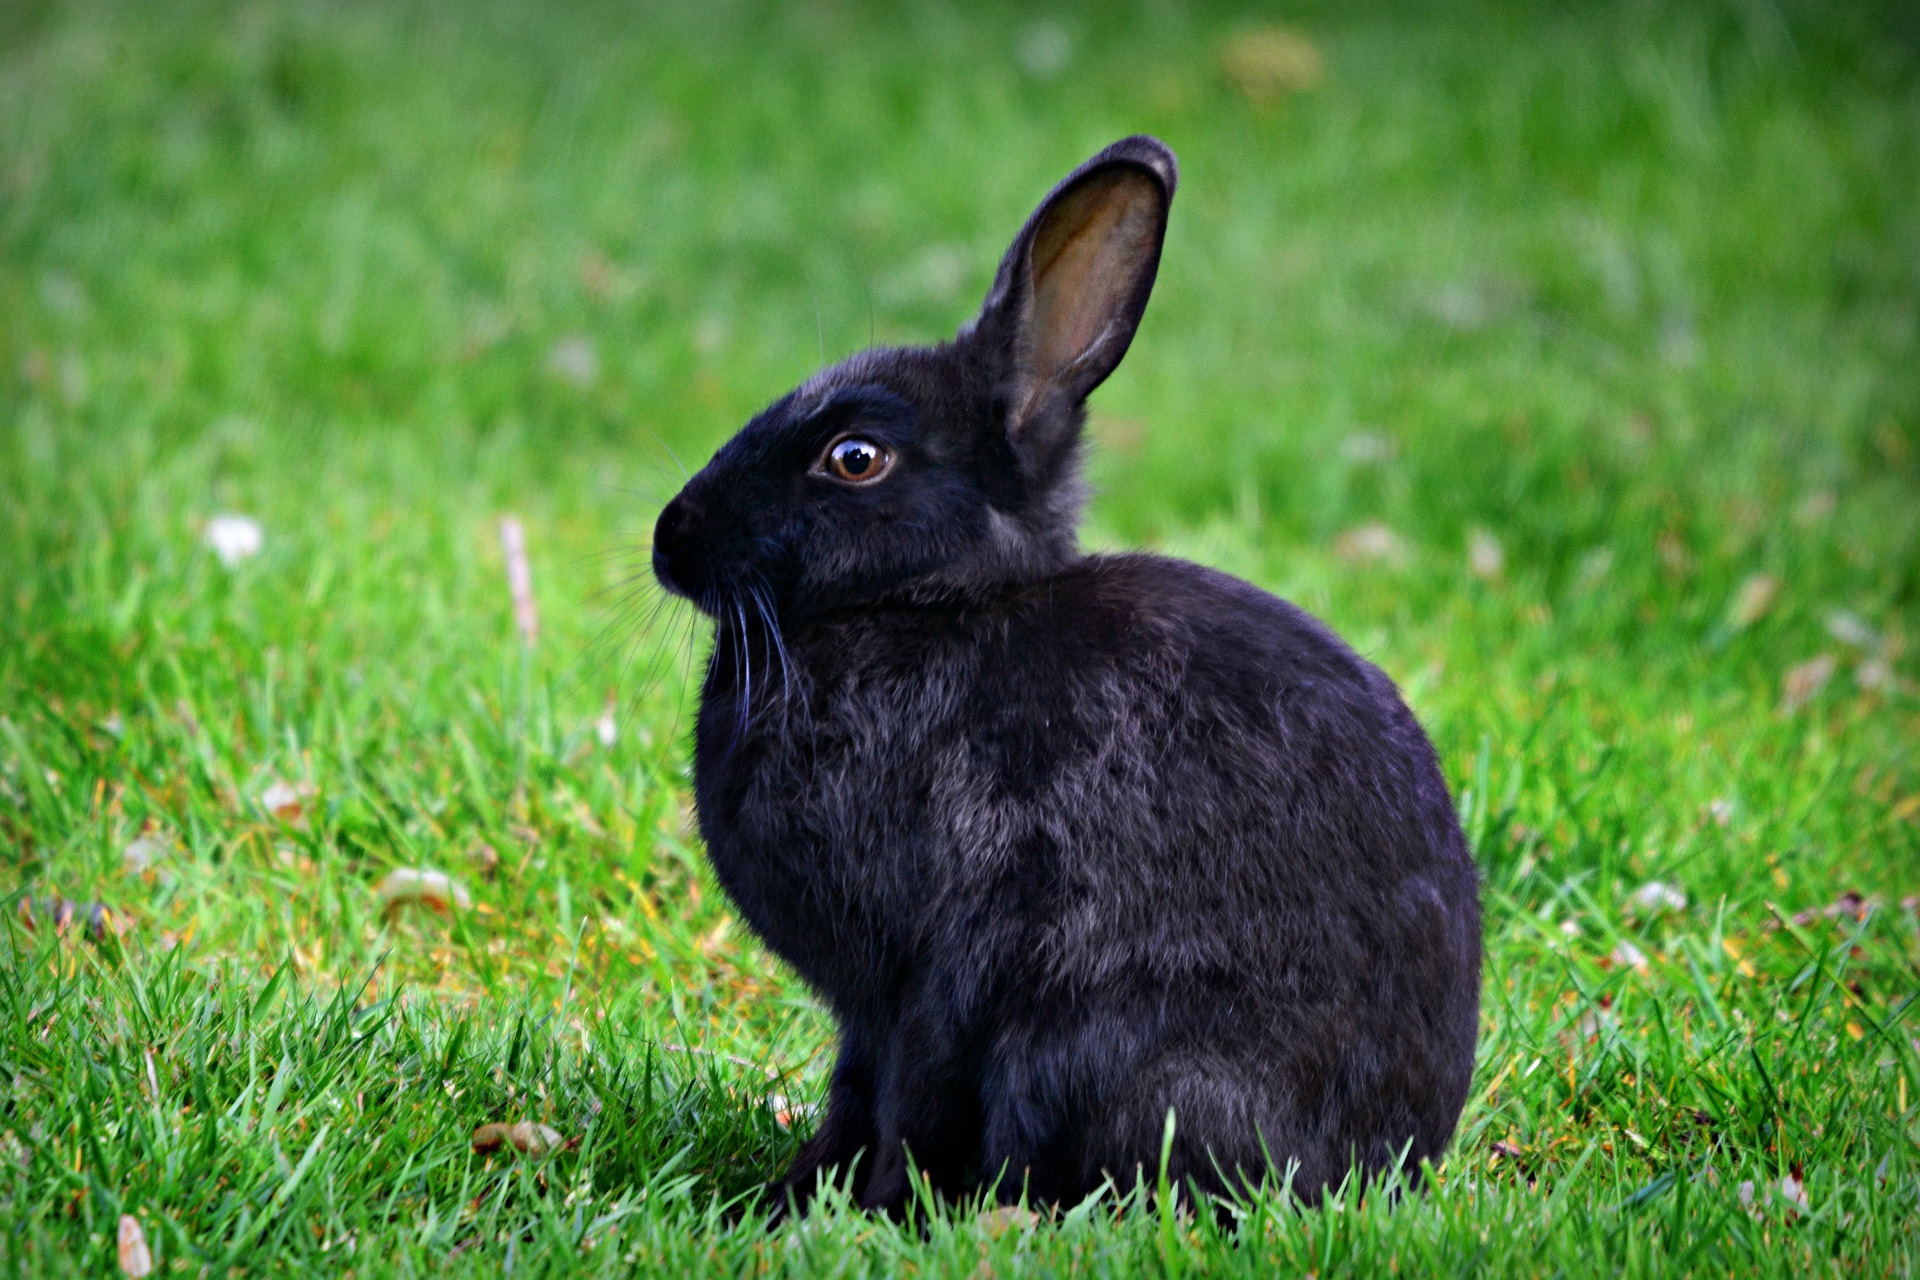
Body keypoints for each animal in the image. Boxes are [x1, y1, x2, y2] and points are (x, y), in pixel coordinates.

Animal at [652, 135, 1474, 1220]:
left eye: (855, 457)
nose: (671, 537)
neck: (927, 602)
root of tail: (1390, 1163)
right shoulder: (870, 1011)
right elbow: (853, 1093)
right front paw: (791, 1197)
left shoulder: (934, 968)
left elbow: (908, 1096)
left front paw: (870, 1212)